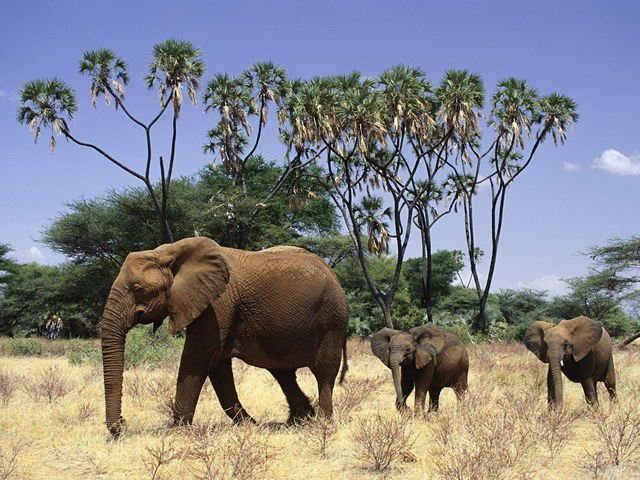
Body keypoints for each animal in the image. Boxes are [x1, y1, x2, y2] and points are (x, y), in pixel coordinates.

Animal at [101, 237, 349, 436]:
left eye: (137, 289)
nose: (122, 425)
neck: (168, 252)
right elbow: (218, 367)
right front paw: (250, 427)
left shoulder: (218, 303)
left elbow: (199, 356)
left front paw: (177, 433)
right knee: (282, 373)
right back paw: (298, 421)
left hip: (332, 319)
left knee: (324, 371)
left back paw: (322, 423)